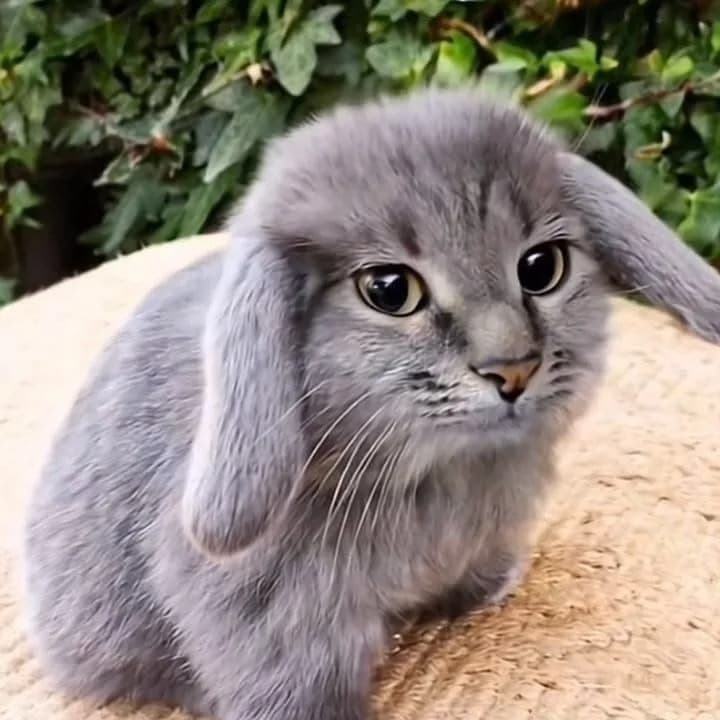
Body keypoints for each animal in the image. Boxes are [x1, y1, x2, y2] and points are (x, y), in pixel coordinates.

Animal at [23, 87, 720, 720]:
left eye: (542, 267)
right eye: (389, 290)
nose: (513, 369)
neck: (441, 472)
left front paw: (488, 589)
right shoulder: (273, 623)